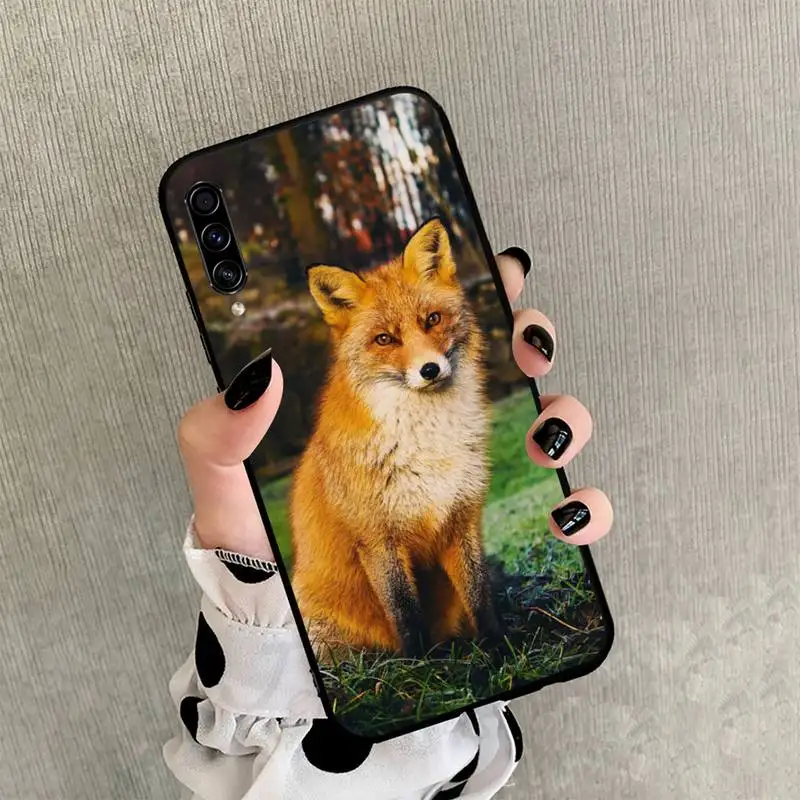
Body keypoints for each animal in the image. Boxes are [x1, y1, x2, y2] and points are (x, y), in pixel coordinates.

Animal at [289, 218, 501, 660]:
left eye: (432, 319)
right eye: (385, 339)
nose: (429, 370)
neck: (428, 445)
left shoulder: (462, 518)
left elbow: (480, 597)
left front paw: (500, 648)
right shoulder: (377, 540)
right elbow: (405, 613)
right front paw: (426, 667)